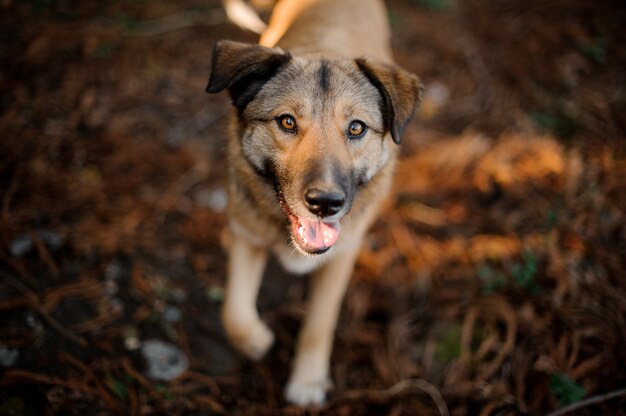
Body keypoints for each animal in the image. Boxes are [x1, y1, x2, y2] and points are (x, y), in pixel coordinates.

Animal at [207, 0, 422, 406]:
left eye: (356, 128)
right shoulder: (249, 236)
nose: (325, 203)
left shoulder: (340, 260)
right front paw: (257, 341)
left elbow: (319, 324)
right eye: (287, 122)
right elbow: (234, 314)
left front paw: (307, 381)